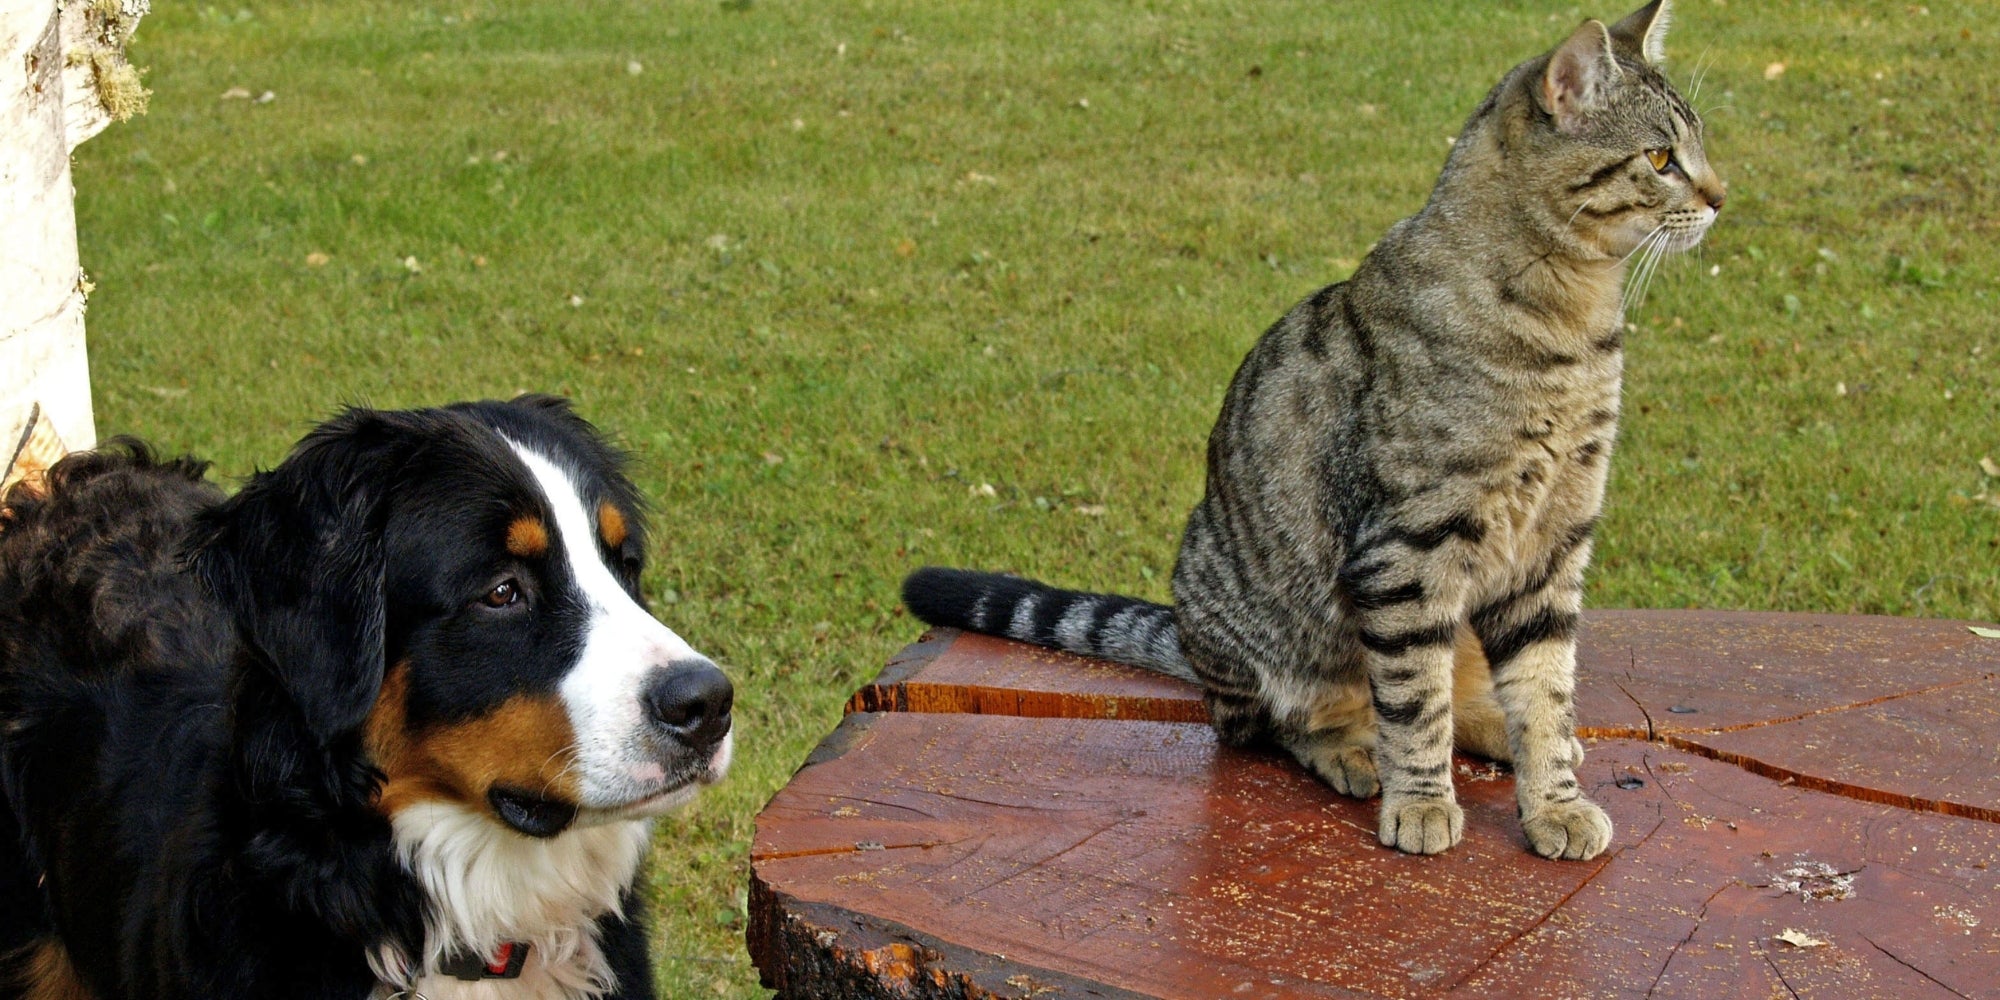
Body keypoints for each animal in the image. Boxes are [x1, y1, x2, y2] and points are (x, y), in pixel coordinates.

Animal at [904, 1, 1720, 860]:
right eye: (1661, 157)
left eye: (1699, 149)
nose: (1722, 196)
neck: (1572, 324)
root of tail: (1189, 641)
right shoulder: (1408, 550)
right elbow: (1414, 702)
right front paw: (1421, 800)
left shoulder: (1552, 545)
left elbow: (1545, 691)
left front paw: (1554, 800)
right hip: (1257, 628)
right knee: (1278, 724)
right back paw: (1352, 751)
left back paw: (1490, 727)